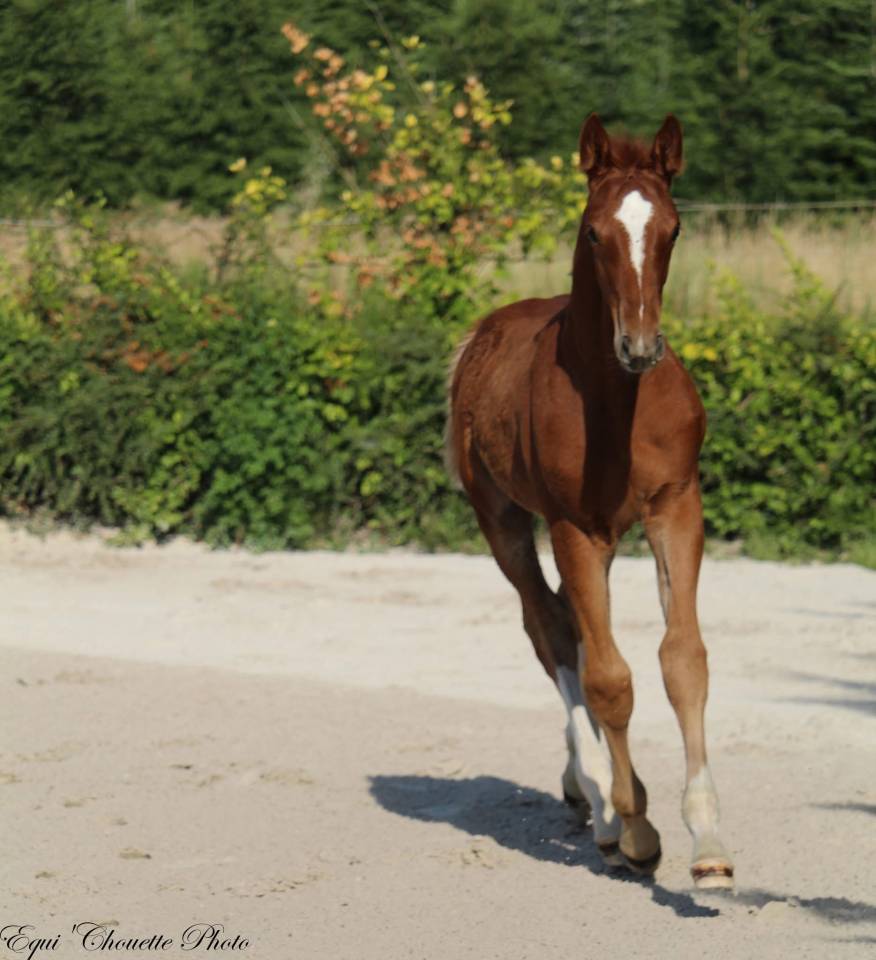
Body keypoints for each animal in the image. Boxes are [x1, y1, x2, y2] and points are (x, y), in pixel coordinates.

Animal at [445, 114, 734, 889]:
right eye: (593, 231)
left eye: (672, 228)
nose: (639, 346)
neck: (617, 402)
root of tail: (481, 334)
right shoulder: (574, 527)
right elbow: (607, 678)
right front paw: (637, 829)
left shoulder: (675, 508)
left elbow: (683, 659)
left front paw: (708, 842)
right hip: (504, 520)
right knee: (549, 629)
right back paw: (603, 808)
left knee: (570, 627)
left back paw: (588, 793)